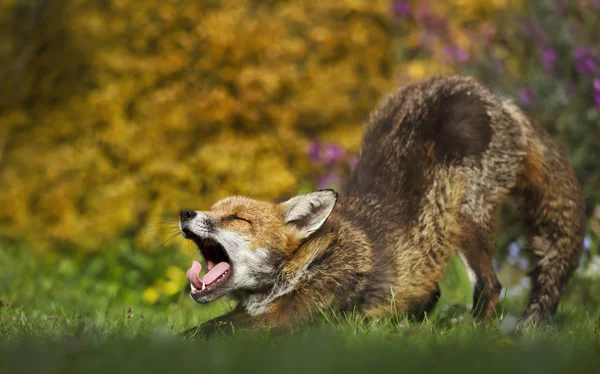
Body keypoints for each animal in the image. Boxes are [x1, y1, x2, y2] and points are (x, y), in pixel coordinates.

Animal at [180, 75, 584, 336]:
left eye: (237, 218)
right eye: (214, 209)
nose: (185, 213)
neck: (310, 260)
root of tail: (496, 97)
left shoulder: (299, 315)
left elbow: (209, 332)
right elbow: (206, 326)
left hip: (468, 223)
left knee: (491, 286)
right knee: (434, 293)